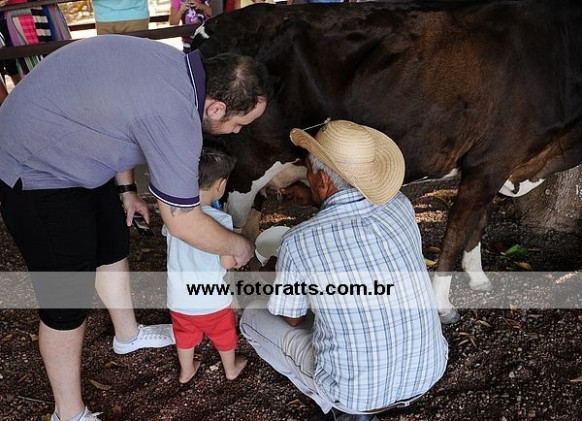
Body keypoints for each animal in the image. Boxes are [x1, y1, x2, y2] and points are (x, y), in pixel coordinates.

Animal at [192, 1, 582, 323]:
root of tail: (210, 29)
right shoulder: (492, 160)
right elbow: (456, 233)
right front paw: (443, 305)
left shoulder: (495, 164)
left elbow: (477, 226)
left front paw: (479, 278)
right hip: (245, 169)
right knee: (226, 232)